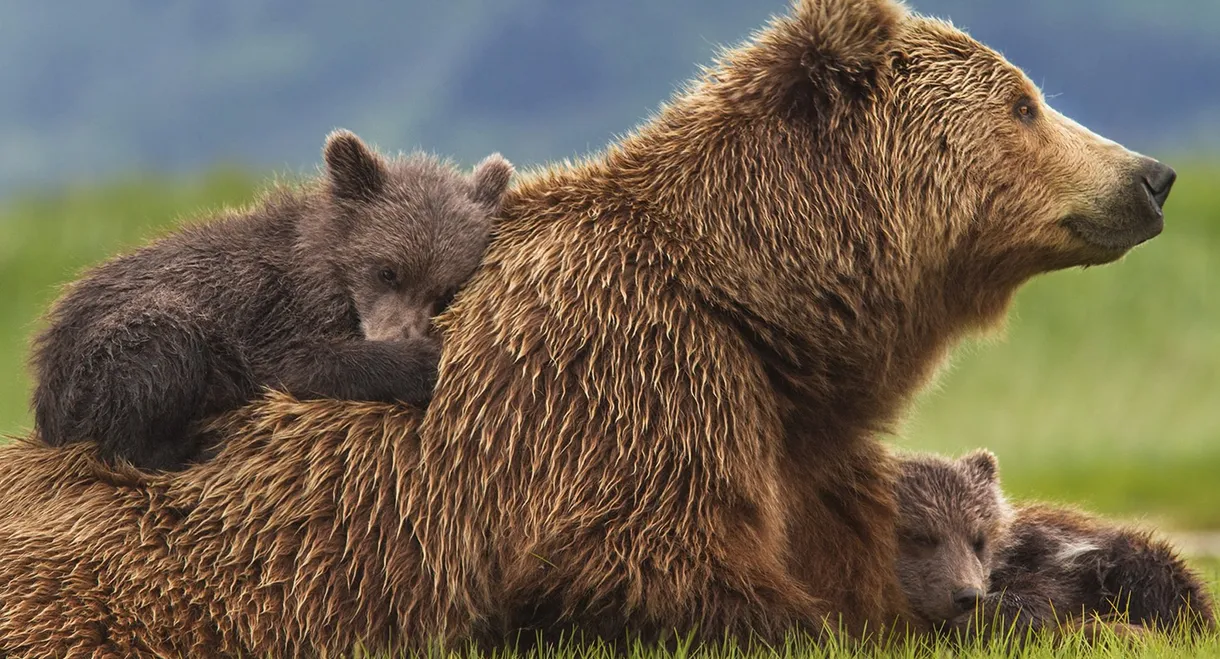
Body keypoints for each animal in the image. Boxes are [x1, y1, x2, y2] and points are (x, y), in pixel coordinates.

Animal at [29, 130, 513, 471]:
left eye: (444, 291)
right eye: (388, 271)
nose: (400, 334)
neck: (326, 270)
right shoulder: (272, 312)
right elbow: (299, 363)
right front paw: (421, 361)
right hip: (109, 352)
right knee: (160, 351)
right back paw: (191, 445)